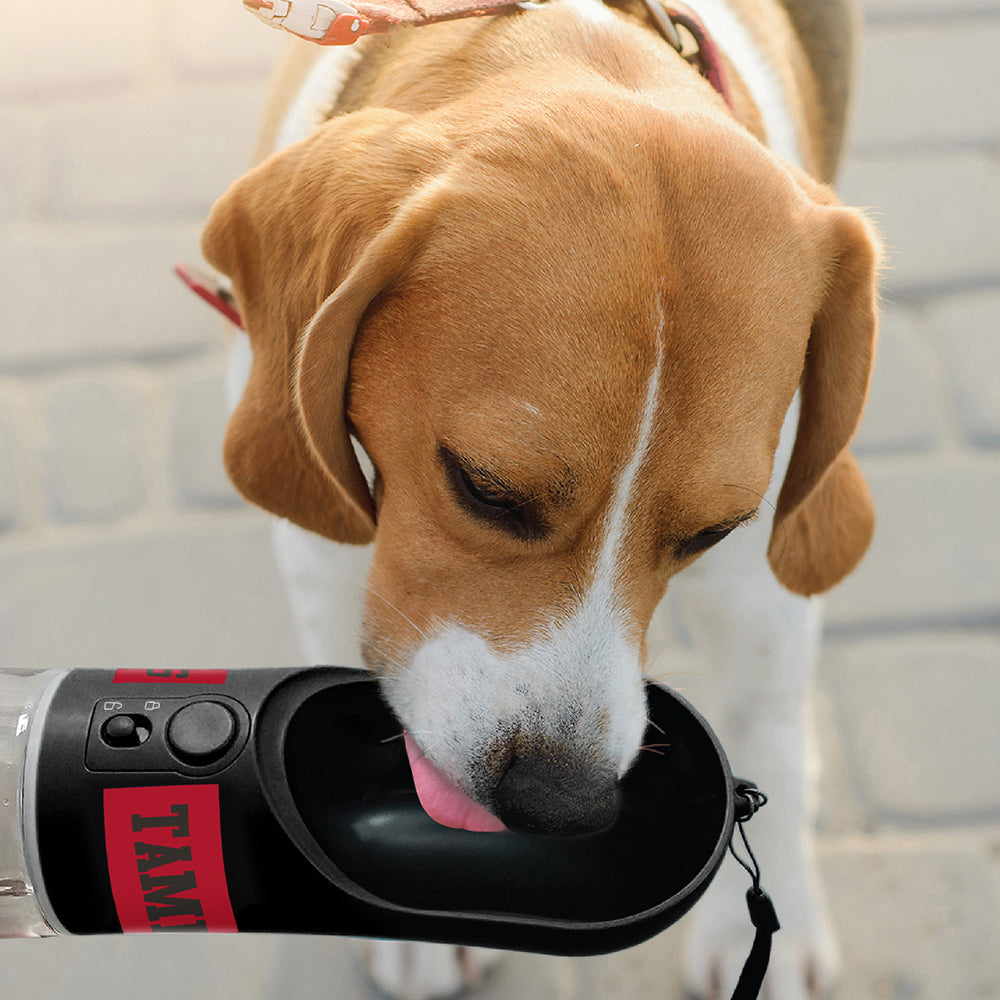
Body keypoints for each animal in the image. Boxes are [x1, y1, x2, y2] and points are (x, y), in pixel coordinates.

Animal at [203, 0, 876, 996]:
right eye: (483, 488)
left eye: (715, 531)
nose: (558, 802)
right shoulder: (324, 527)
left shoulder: (762, 573)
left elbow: (769, 716)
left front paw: (773, 913)